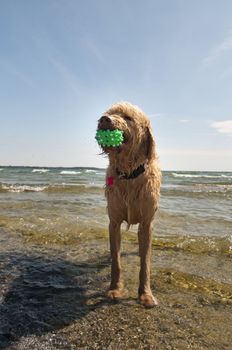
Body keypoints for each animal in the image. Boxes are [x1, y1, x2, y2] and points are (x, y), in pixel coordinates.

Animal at [96, 100, 161, 306]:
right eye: (110, 113)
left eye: (128, 117)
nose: (104, 119)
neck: (129, 174)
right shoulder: (114, 222)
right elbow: (116, 261)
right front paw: (115, 289)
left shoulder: (147, 224)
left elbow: (145, 263)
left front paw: (145, 294)